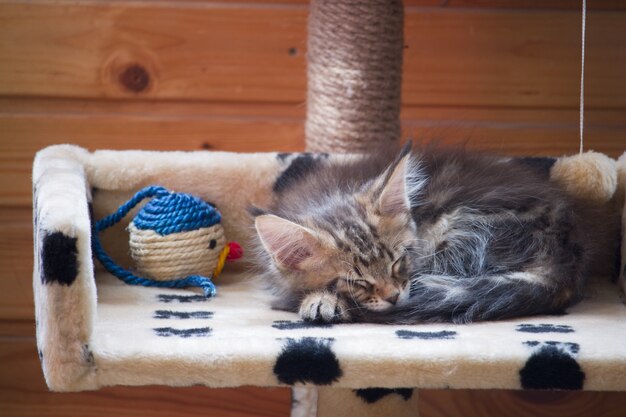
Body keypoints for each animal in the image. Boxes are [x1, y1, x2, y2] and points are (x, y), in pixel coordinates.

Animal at [251, 145, 612, 324]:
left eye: (398, 262)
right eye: (357, 282)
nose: (394, 297)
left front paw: (321, 301)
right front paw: (321, 298)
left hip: (458, 227)